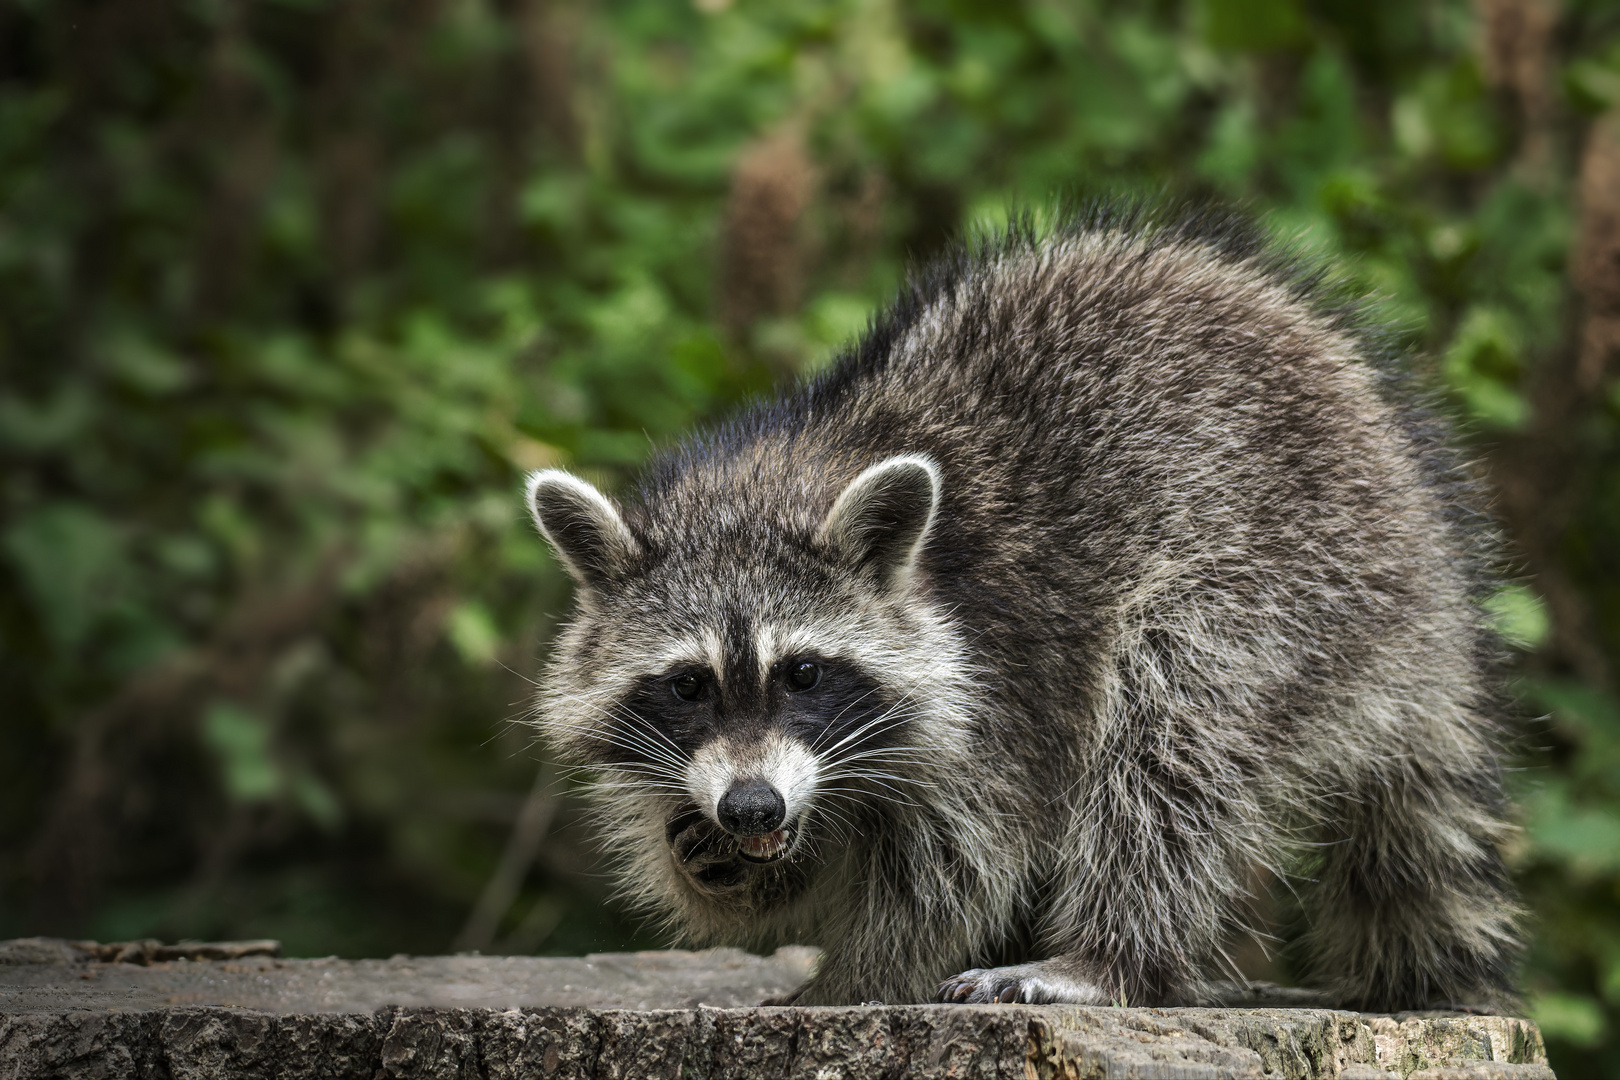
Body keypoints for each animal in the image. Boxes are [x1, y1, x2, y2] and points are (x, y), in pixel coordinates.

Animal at [528, 204, 1516, 1016]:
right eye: (687, 686)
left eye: (802, 672)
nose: (751, 809)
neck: (779, 475)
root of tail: (1434, 582)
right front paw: (715, 863)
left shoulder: (1006, 665)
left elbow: (959, 868)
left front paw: (859, 976)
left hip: (1295, 574)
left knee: (1171, 731)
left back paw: (1109, 957)